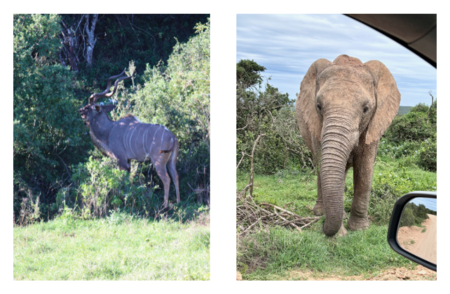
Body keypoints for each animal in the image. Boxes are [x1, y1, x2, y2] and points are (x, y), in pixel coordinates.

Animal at [79, 69, 179, 208]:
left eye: (88, 107)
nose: (79, 110)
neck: (109, 130)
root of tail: (172, 137)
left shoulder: (121, 159)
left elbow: (122, 180)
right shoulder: (129, 160)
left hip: (158, 161)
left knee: (166, 179)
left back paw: (165, 205)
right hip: (171, 160)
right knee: (175, 176)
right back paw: (179, 202)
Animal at [296, 54, 400, 237]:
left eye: (366, 109)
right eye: (318, 106)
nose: (323, 227)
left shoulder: (374, 124)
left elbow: (365, 168)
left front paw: (359, 229)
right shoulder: (315, 124)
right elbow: (324, 163)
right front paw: (340, 232)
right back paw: (320, 212)